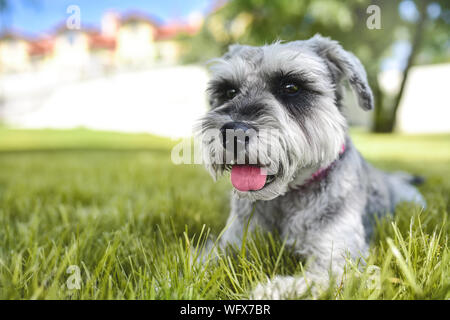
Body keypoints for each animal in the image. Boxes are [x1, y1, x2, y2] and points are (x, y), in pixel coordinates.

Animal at [194, 35, 426, 300]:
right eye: (229, 91)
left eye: (291, 87)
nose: (233, 133)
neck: (285, 198)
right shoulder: (231, 242)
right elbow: (199, 264)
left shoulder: (339, 264)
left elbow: (301, 285)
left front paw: (261, 292)